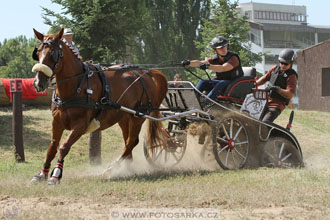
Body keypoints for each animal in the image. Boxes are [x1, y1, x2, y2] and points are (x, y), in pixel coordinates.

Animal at [30, 28, 168, 185]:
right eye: (38, 53)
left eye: (53, 54)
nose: (38, 83)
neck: (77, 85)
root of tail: (147, 73)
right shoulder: (57, 123)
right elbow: (52, 148)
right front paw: (42, 174)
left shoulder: (80, 125)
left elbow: (64, 146)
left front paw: (56, 174)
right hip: (124, 118)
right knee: (129, 142)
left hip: (138, 117)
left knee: (131, 142)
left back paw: (111, 168)